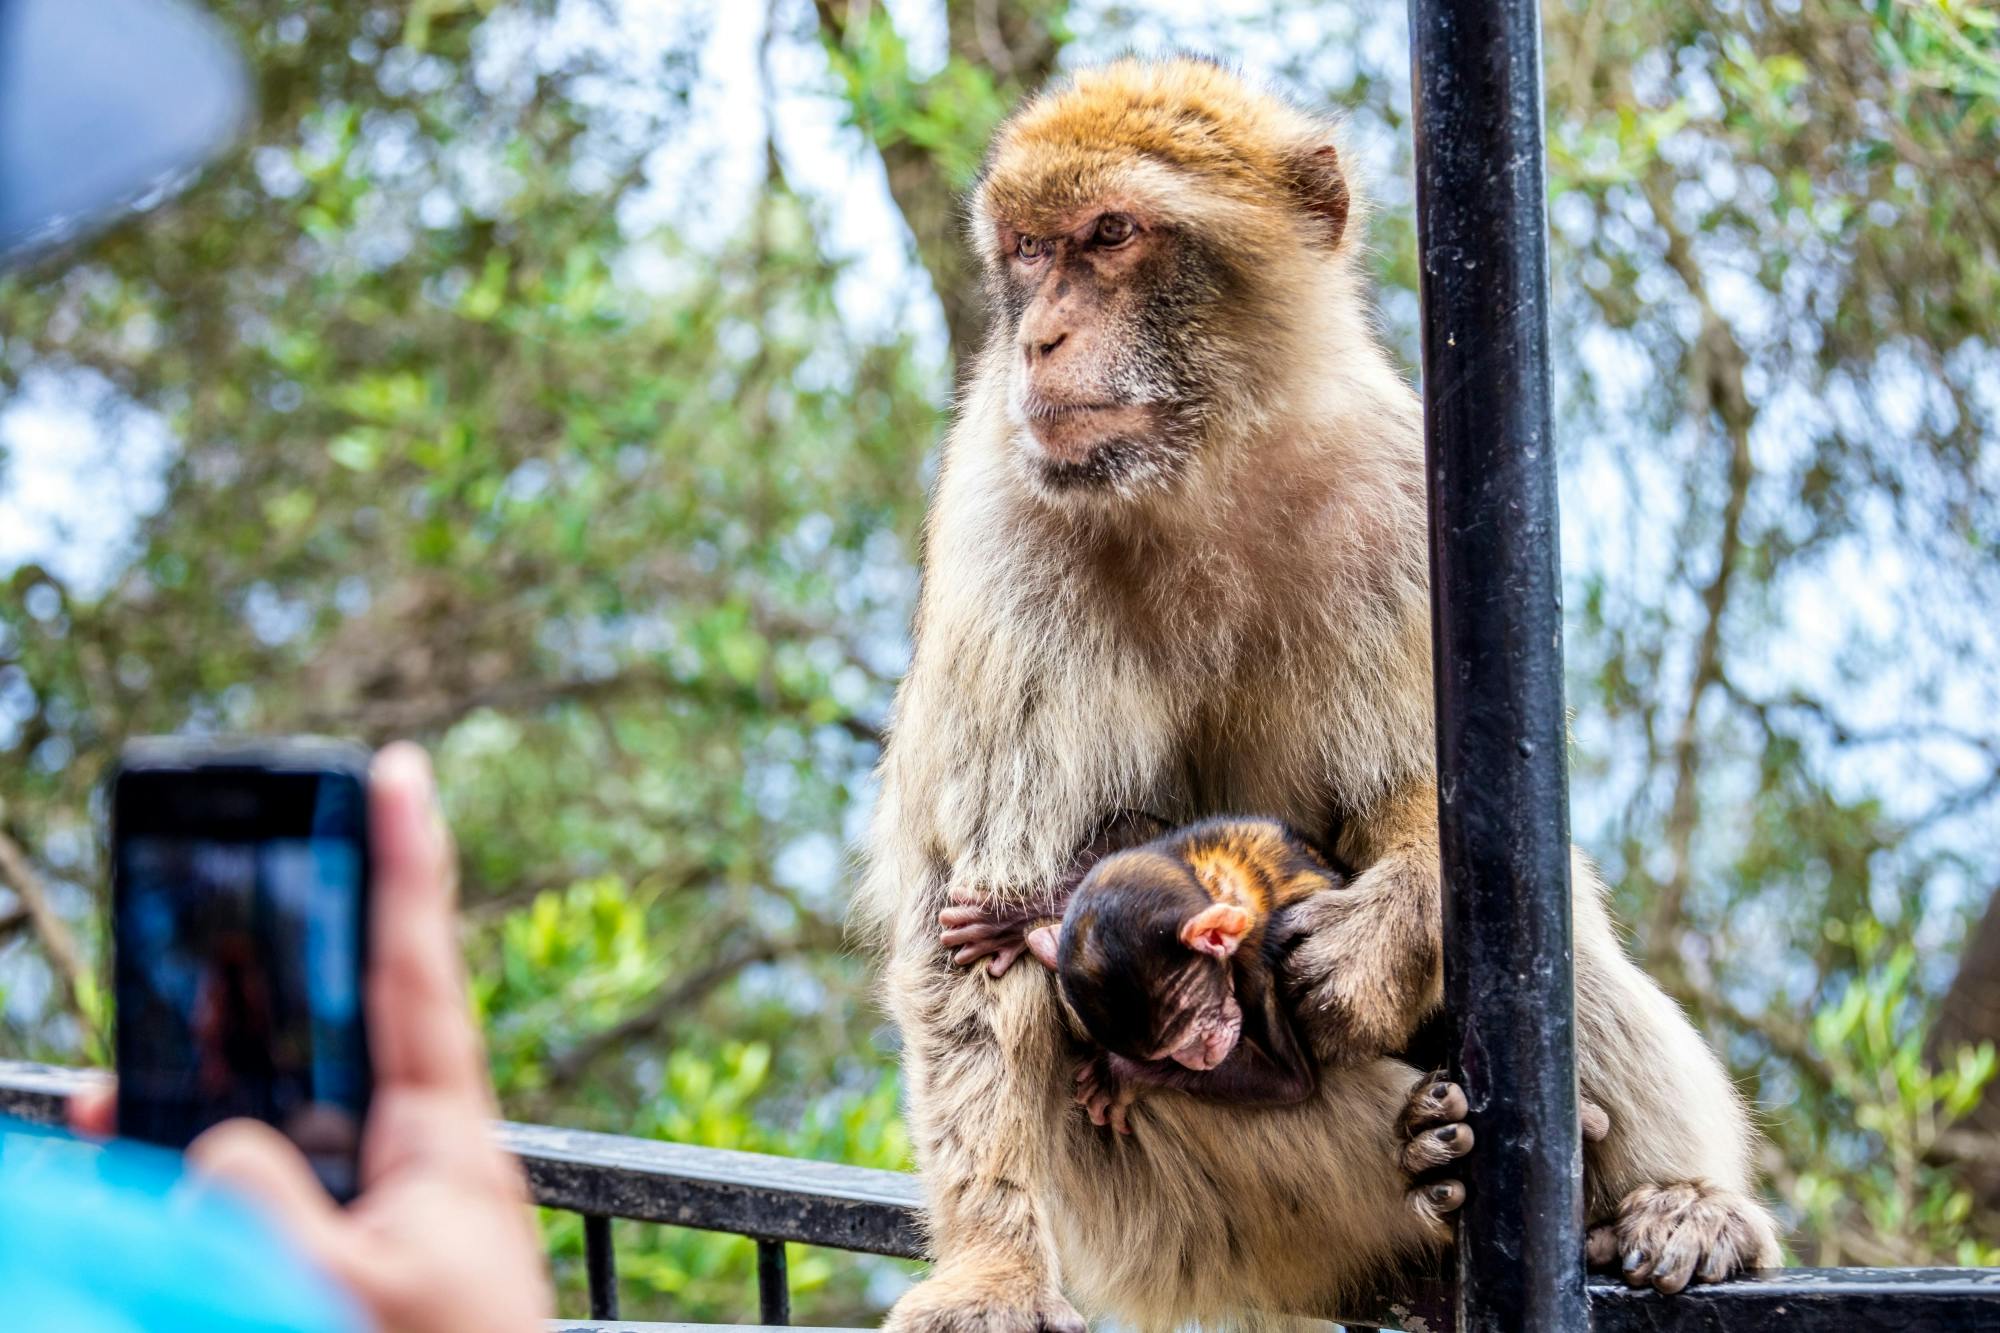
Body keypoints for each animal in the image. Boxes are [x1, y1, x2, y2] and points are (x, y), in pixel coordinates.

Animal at [940, 816, 1344, 1128]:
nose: (1201, 1061)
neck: (1209, 886)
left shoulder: (1254, 962)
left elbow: (1285, 1078)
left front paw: (1117, 1072)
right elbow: (1128, 831)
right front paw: (1014, 918)